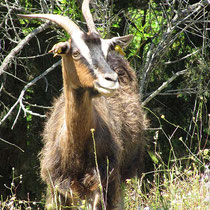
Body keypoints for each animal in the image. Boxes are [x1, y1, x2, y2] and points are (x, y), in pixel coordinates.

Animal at [18, 0, 147, 209]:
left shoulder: (103, 182)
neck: (75, 150)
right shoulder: (56, 187)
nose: (110, 79)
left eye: (106, 49)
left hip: (125, 172)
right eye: (76, 53)